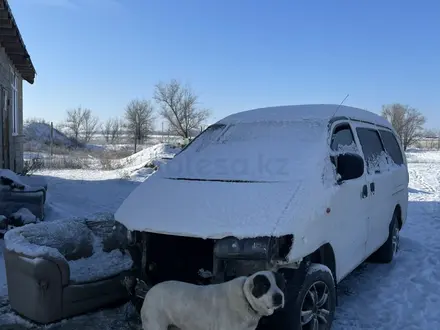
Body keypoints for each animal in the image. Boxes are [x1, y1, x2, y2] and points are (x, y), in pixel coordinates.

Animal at [139, 270, 288, 330]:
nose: (279, 297)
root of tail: (149, 292)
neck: (246, 299)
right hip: (156, 326)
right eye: (265, 285)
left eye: (281, 284)